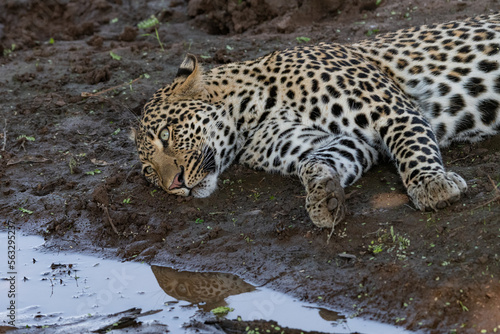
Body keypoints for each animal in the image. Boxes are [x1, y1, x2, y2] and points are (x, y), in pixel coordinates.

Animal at [132, 11, 500, 228]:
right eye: (149, 172)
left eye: (166, 134)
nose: (174, 185)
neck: (250, 117)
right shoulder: (345, 141)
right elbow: (314, 163)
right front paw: (324, 197)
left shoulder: (392, 110)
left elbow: (412, 147)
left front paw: (431, 185)